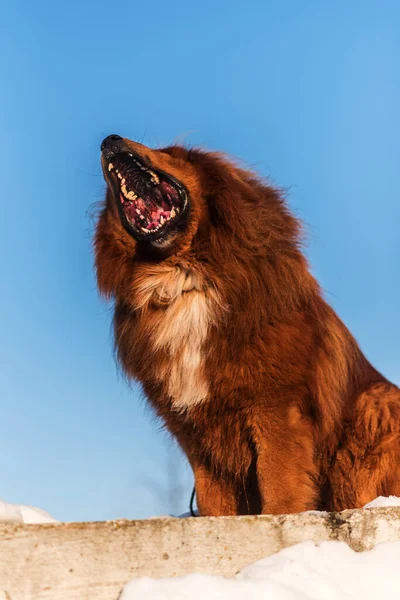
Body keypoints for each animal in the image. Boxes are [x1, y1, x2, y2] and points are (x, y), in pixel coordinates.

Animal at [94, 135, 400, 516]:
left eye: (169, 152)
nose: (109, 140)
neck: (184, 278)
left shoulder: (276, 410)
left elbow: (279, 486)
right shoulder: (199, 438)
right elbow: (214, 504)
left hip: (372, 411)